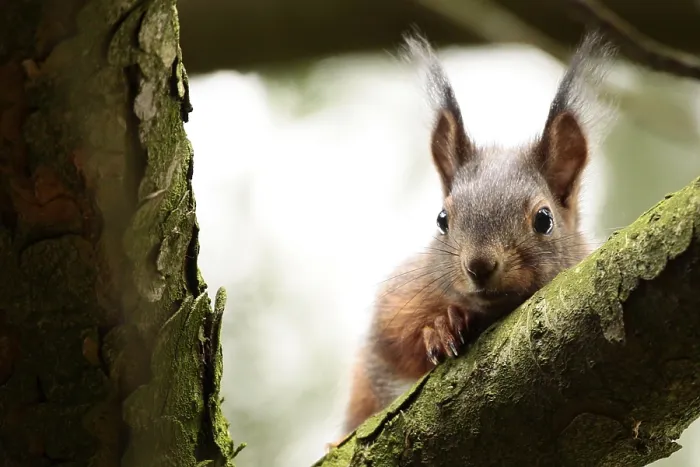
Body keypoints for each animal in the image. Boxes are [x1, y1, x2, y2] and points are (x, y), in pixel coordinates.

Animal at [338, 31, 616, 438]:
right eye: (442, 219)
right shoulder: (396, 308)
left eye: (544, 220)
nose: (479, 265)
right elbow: (392, 350)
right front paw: (440, 328)